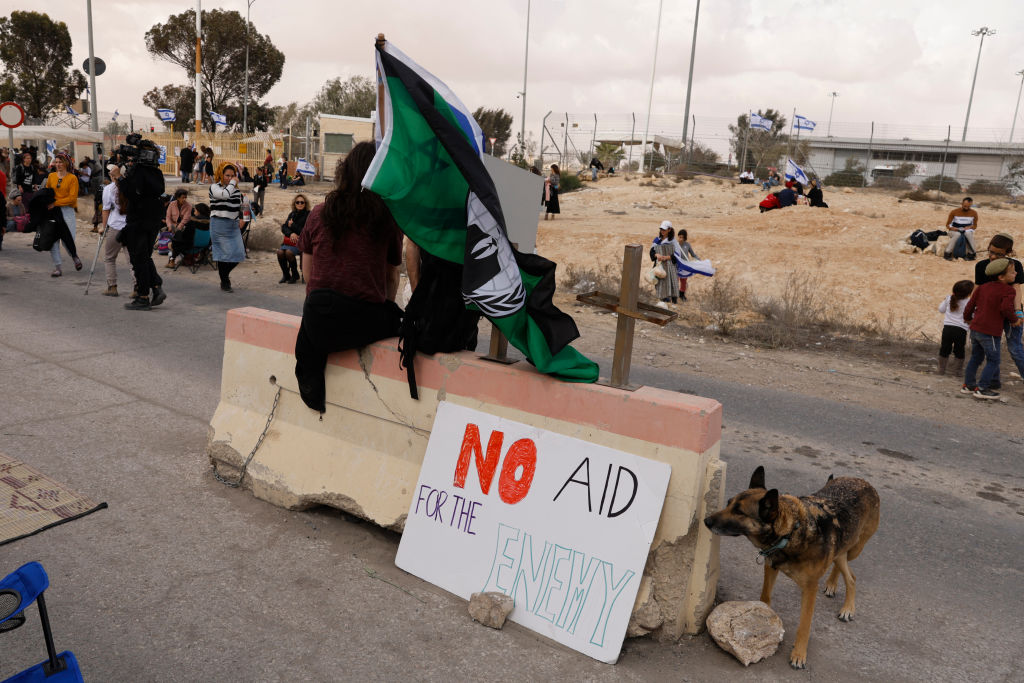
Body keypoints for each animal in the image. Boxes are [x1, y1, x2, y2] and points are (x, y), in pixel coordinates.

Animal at [704, 464, 880, 667]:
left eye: (739, 512)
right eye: (728, 503)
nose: (706, 521)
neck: (790, 532)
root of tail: (863, 482)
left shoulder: (810, 589)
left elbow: (804, 625)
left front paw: (799, 654)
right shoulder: (771, 567)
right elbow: (765, 597)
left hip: (855, 548)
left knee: (851, 576)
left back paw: (847, 608)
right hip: (843, 550)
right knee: (845, 568)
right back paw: (832, 585)